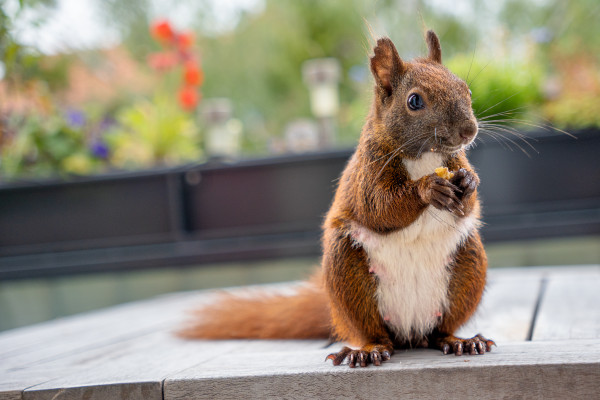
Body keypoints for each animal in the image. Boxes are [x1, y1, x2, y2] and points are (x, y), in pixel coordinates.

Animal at [179, 30, 496, 368]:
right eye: (414, 101)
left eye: (466, 89)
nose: (468, 131)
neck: (425, 156)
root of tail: (410, 330)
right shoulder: (366, 175)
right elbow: (380, 208)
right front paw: (427, 188)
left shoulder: (455, 162)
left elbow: (467, 205)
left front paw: (470, 183)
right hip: (348, 274)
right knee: (374, 332)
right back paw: (368, 350)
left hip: (468, 267)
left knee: (440, 331)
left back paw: (460, 341)